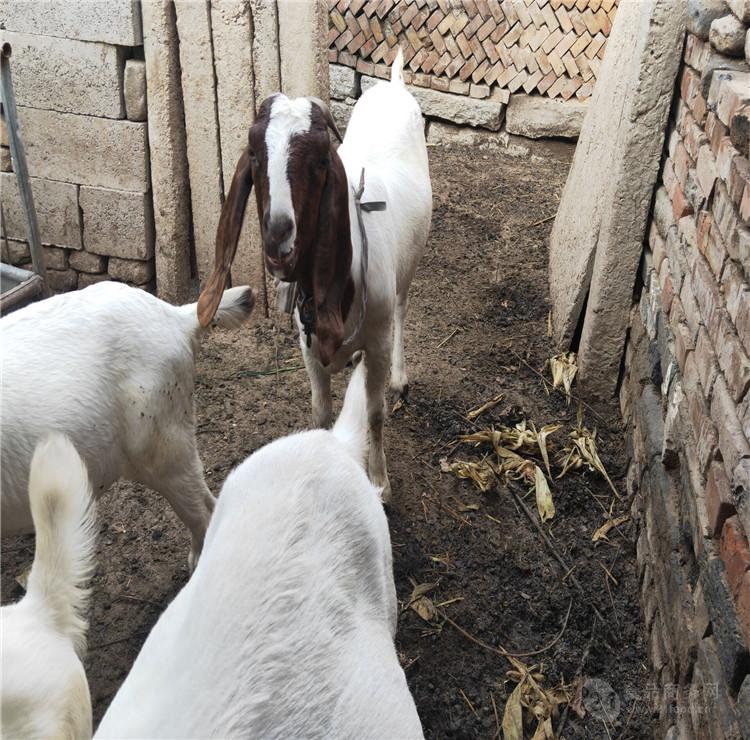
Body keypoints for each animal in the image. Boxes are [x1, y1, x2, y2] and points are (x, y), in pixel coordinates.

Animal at [198, 47, 434, 502]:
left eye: (321, 161)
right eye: (254, 153)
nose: (277, 233)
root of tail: (394, 84)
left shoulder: (377, 341)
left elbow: (374, 413)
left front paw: (380, 483)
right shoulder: (307, 347)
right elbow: (320, 412)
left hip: (410, 263)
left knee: (402, 306)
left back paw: (400, 379)